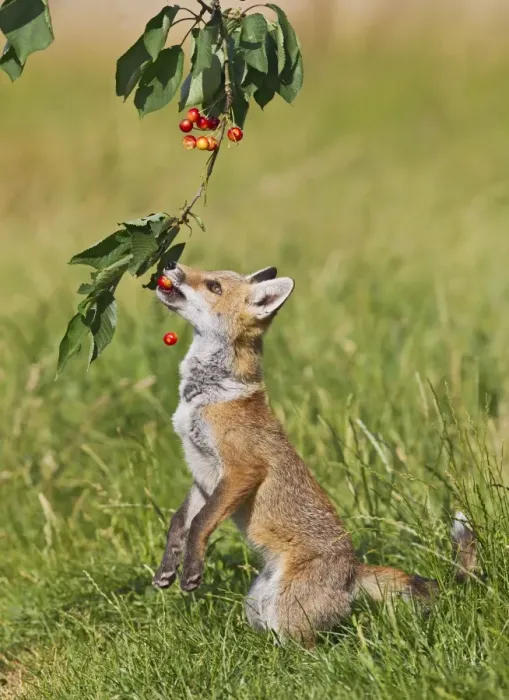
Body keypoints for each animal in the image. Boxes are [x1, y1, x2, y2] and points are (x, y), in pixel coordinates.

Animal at [152, 261, 477, 647]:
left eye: (214, 285)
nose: (170, 265)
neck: (208, 395)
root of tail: (353, 570)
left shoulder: (242, 471)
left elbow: (201, 523)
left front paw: (191, 570)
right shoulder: (204, 475)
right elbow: (180, 522)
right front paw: (168, 568)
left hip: (285, 612)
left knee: (311, 649)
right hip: (257, 606)